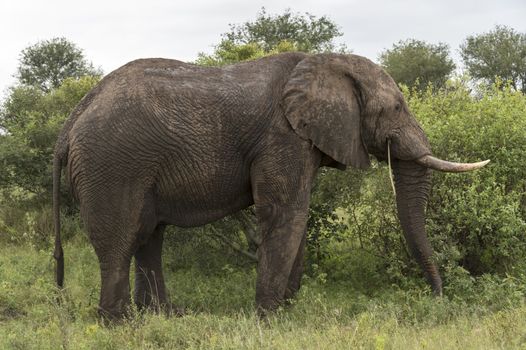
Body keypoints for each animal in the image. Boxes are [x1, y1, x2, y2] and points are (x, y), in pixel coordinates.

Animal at [51, 52, 488, 320]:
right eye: (396, 107)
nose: (437, 298)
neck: (324, 61)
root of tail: (71, 121)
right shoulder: (282, 138)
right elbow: (284, 212)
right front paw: (270, 318)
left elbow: (298, 215)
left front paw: (287, 310)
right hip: (112, 164)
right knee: (120, 240)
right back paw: (120, 323)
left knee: (148, 236)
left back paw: (164, 317)